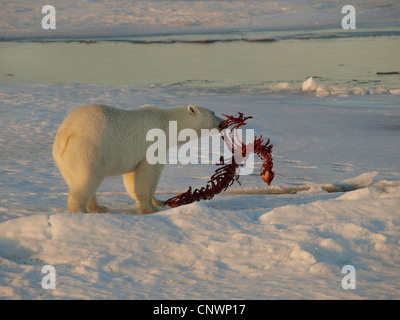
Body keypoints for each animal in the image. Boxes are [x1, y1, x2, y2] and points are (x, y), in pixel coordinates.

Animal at [52, 105, 223, 215]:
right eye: (214, 112)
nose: (223, 122)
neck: (165, 122)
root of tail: (65, 133)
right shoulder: (153, 144)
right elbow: (147, 175)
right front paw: (151, 209)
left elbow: (131, 178)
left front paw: (158, 201)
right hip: (90, 147)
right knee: (88, 176)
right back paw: (81, 209)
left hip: (63, 160)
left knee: (74, 178)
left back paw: (99, 208)